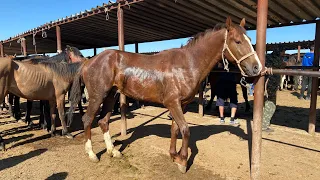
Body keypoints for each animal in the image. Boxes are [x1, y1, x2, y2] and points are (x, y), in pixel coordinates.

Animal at [69, 16, 262, 173]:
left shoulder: (181, 104)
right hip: (97, 96)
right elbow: (185, 129)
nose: (257, 68)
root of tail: (87, 62)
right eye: (237, 41)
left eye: (249, 39)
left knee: (103, 121)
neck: (187, 64)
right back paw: (92, 154)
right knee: (88, 120)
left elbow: (175, 129)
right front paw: (183, 162)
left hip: (111, 95)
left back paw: (113, 151)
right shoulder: (172, 103)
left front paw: (174, 155)